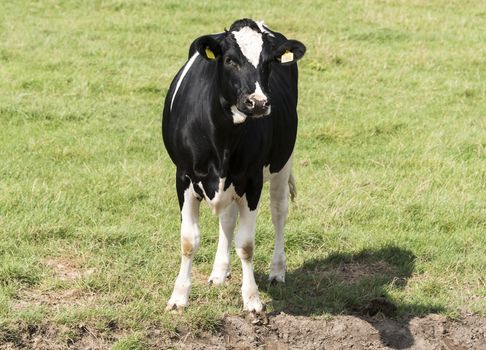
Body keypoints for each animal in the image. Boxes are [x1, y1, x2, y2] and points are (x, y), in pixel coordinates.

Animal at [164, 19, 308, 312]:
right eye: (230, 60)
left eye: (269, 61)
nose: (259, 102)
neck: (223, 138)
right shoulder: (183, 177)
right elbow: (189, 240)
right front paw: (179, 297)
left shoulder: (252, 182)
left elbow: (247, 244)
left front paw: (252, 299)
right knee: (228, 219)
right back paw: (220, 271)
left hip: (282, 162)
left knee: (279, 211)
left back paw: (277, 270)